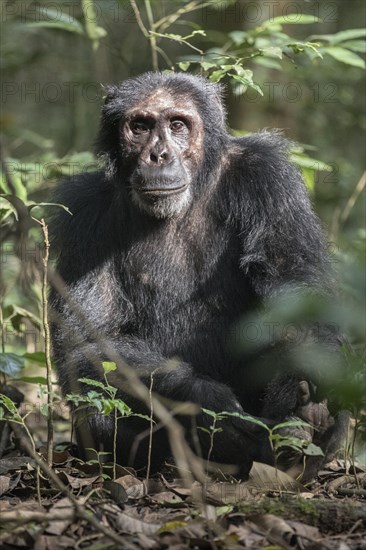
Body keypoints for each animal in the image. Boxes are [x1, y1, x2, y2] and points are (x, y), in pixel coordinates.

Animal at [50, 72, 348, 478]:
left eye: (178, 125)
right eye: (140, 127)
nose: (158, 154)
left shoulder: (268, 178)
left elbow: (297, 284)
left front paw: (300, 386)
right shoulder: (83, 214)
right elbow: (88, 340)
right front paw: (212, 406)